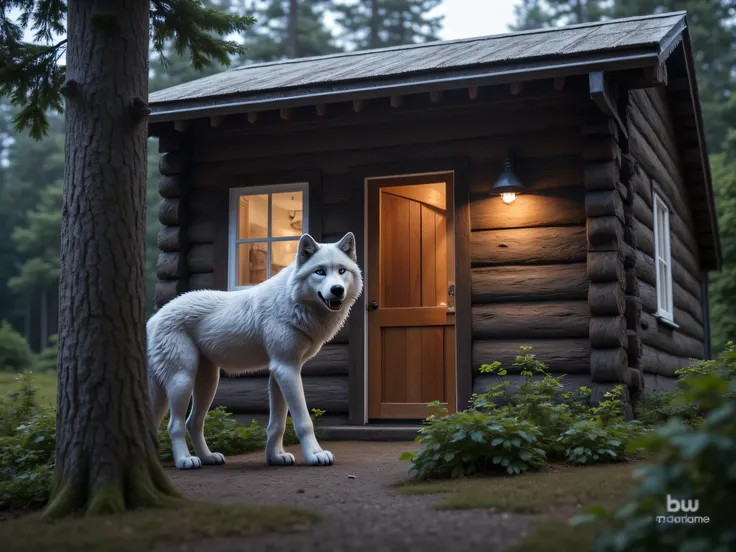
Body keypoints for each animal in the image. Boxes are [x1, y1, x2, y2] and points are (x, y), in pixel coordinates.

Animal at [146, 232, 362, 469]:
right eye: (320, 271)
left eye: (341, 271)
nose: (337, 290)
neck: (291, 301)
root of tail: (154, 318)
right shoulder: (286, 369)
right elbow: (303, 421)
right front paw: (315, 455)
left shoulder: (280, 372)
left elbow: (277, 424)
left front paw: (275, 457)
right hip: (182, 380)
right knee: (175, 425)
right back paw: (185, 460)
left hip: (208, 383)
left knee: (193, 422)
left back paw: (208, 457)